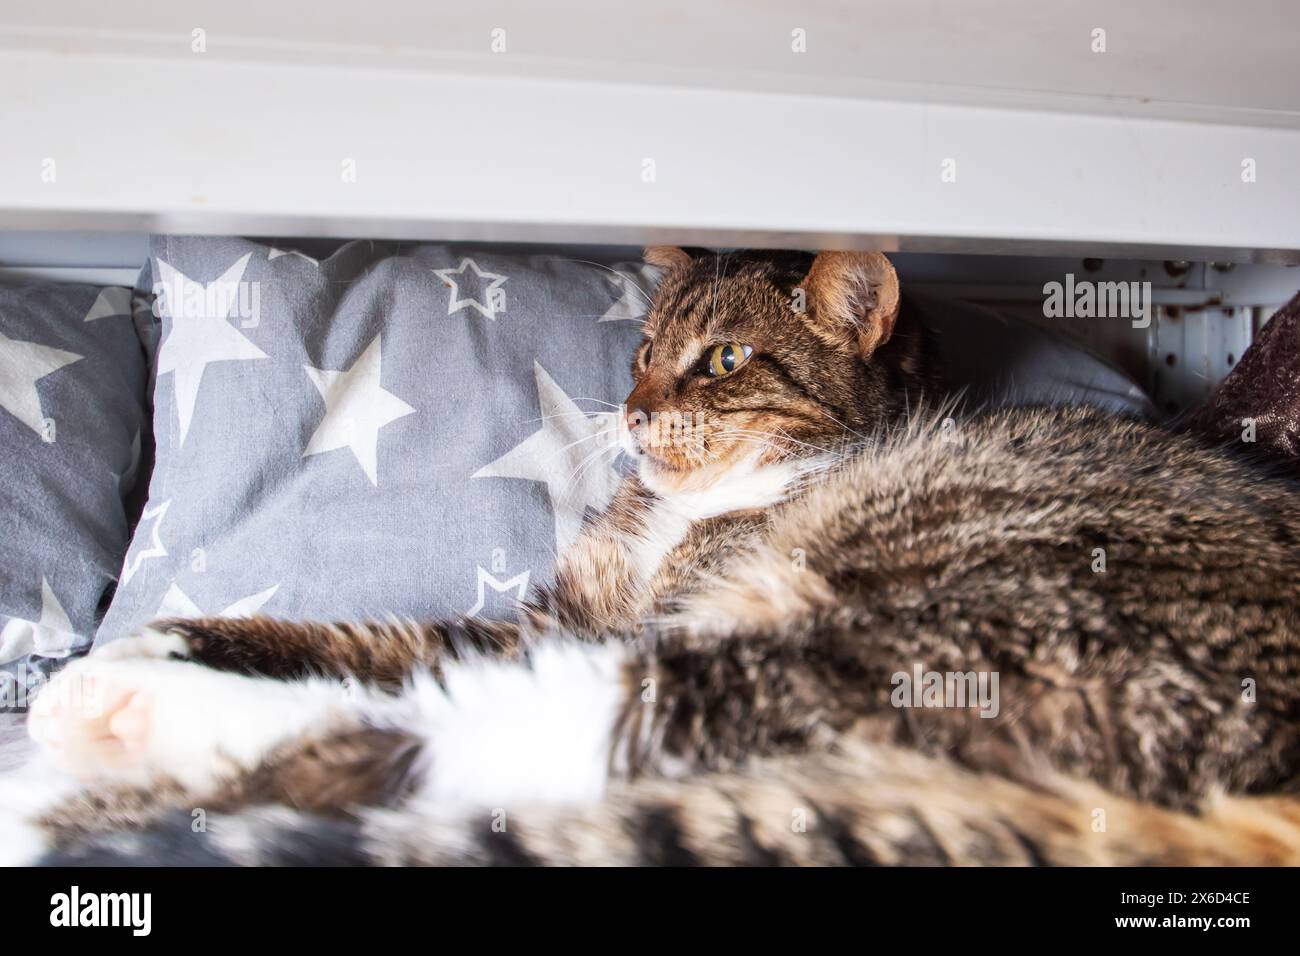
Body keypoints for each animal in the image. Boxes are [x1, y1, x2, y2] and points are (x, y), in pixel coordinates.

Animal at [7, 248, 1300, 868]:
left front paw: (144, 680)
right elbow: (370, 634)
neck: (691, 507)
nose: (628, 409)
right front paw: (161, 636)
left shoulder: (631, 617)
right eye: (640, 349)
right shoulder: (549, 614)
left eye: (722, 359)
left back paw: (129, 737)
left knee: (516, 731)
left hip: (952, 631)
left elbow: (415, 666)